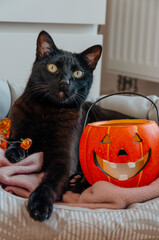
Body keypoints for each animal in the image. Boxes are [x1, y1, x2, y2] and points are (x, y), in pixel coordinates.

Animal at [5, 31, 130, 222]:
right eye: (52, 68)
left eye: (78, 73)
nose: (65, 82)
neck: (47, 111)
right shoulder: (17, 123)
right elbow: (15, 140)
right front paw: (15, 152)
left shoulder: (64, 159)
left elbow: (49, 183)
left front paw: (39, 205)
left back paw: (77, 182)